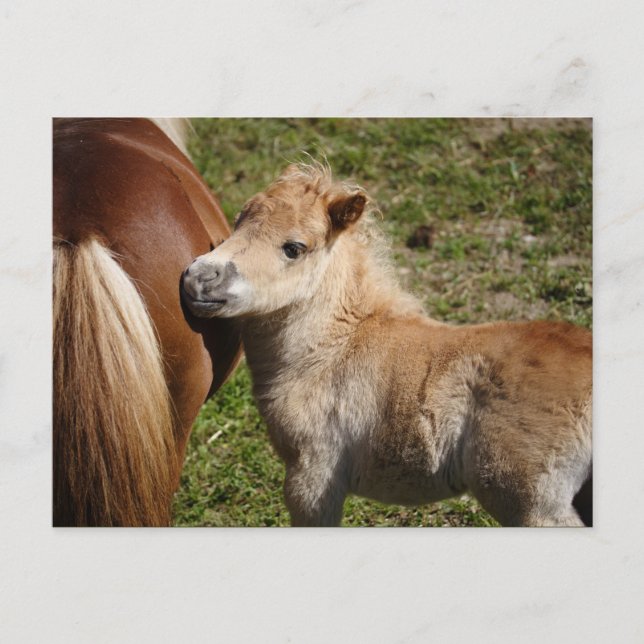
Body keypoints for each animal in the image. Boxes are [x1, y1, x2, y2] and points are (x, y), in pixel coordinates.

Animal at [180, 162, 593, 527]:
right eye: (238, 221)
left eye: (294, 248)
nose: (198, 278)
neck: (331, 351)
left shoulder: (313, 475)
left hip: (531, 501)